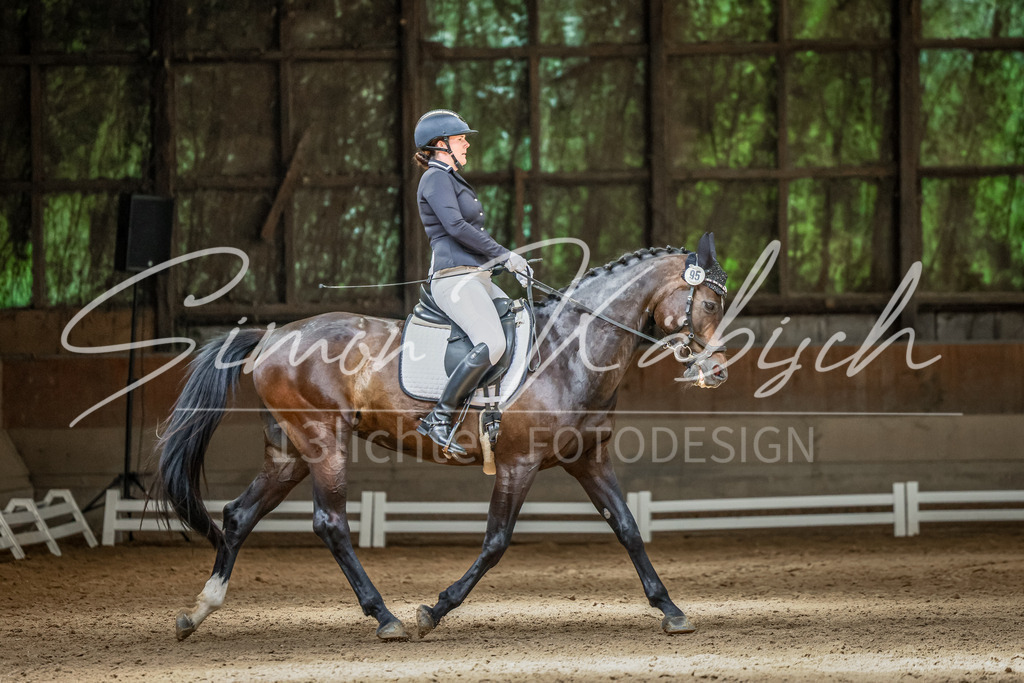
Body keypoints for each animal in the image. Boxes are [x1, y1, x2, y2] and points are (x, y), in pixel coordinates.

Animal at [154, 235, 729, 642]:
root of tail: (275, 336)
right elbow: (496, 542)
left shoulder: (588, 460)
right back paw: (385, 617)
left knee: (239, 514)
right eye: (709, 305)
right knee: (330, 523)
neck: (569, 352)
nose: (717, 373)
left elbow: (628, 528)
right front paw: (434, 609)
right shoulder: (519, 464)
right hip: (322, 442)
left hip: (290, 451)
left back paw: (197, 612)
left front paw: (671, 609)